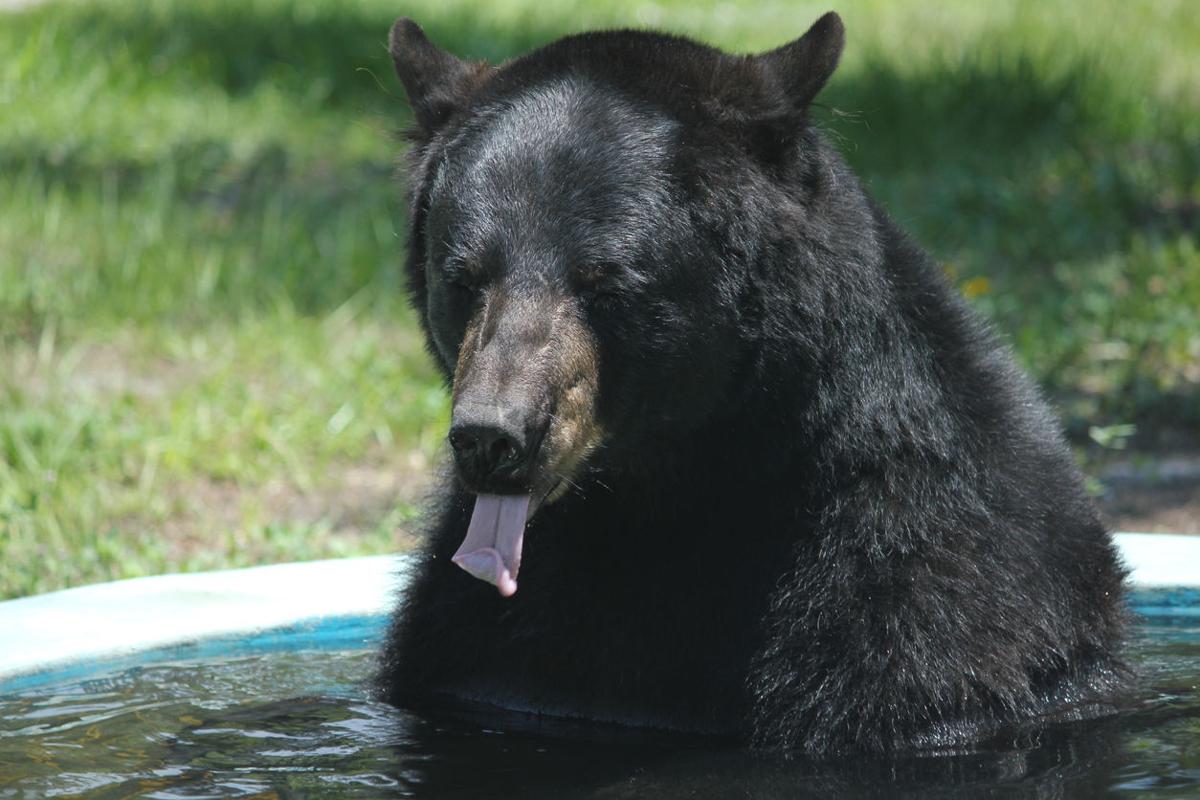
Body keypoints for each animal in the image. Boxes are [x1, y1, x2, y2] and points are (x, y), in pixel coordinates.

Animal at [375, 11, 1131, 756]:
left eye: (604, 282)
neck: (668, 490)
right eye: (463, 278)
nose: (492, 437)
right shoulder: (476, 640)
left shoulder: (918, 601)